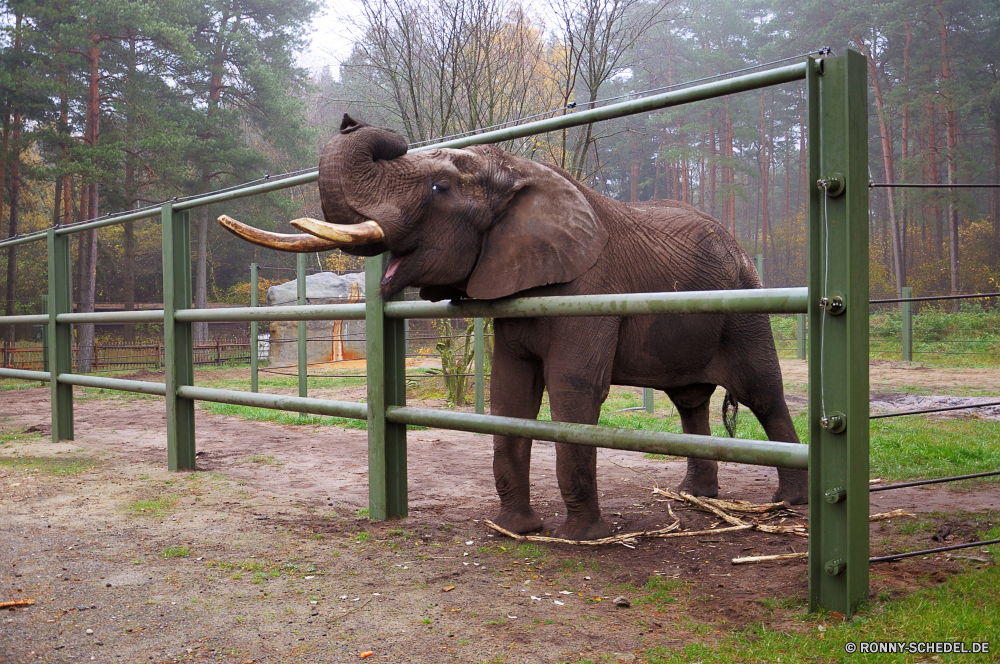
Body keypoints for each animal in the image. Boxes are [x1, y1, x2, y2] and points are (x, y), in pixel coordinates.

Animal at [223, 114, 808, 540]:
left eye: (438, 187)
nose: (351, 120)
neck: (519, 170)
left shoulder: (587, 292)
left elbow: (574, 392)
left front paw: (586, 538)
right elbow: (511, 393)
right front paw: (516, 530)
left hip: (745, 306)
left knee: (763, 392)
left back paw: (787, 503)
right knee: (689, 400)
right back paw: (695, 497)